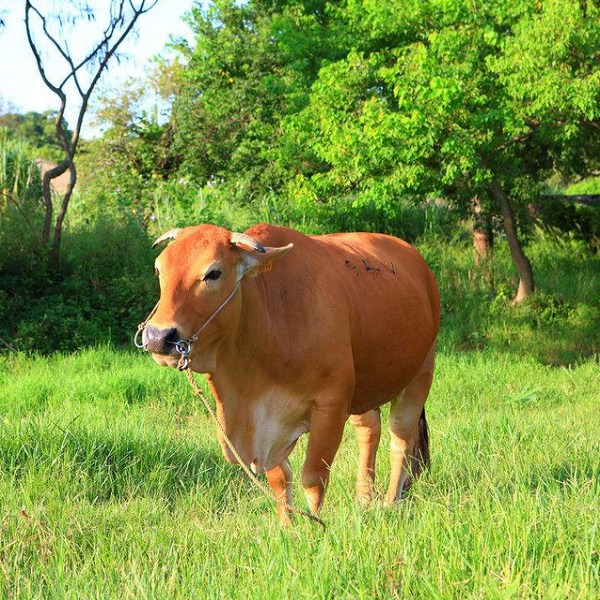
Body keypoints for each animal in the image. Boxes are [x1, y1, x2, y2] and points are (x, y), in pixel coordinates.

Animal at [141, 223, 440, 524]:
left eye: (213, 273)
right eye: (158, 269)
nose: (158, 337)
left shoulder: (331, 406)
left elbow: (313, 478)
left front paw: (314, 525)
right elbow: (279, 479)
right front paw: (286, 526)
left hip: (420, 375)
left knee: (401, 438)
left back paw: (392, 500)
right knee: (369, 431)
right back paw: (364, 498)